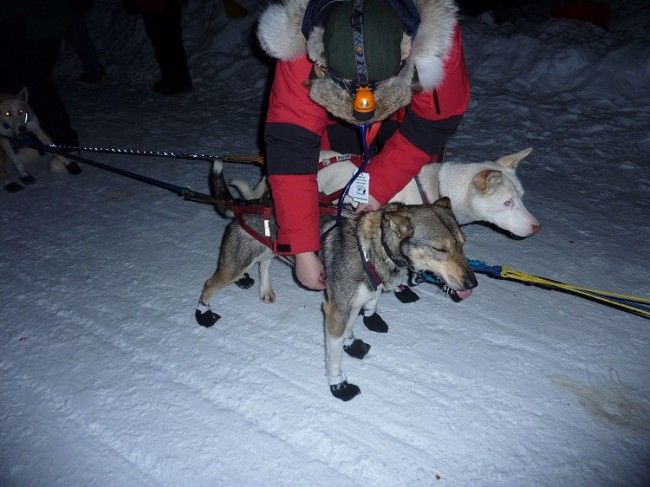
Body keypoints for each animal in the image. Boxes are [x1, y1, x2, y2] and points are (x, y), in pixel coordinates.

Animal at [195, 160, 474, 400]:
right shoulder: (335, 311)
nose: (473, 283)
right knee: (209, 284)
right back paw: (203, 313)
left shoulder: (355, 303)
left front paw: (352, 344)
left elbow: (350, 329)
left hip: (267, 250)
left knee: (264, 264)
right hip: (235, 264)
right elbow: (334, 357)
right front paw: (338, 384)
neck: (370, 250)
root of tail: (245, 203)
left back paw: (265, 290)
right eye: (440, 249)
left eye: (462, 244)